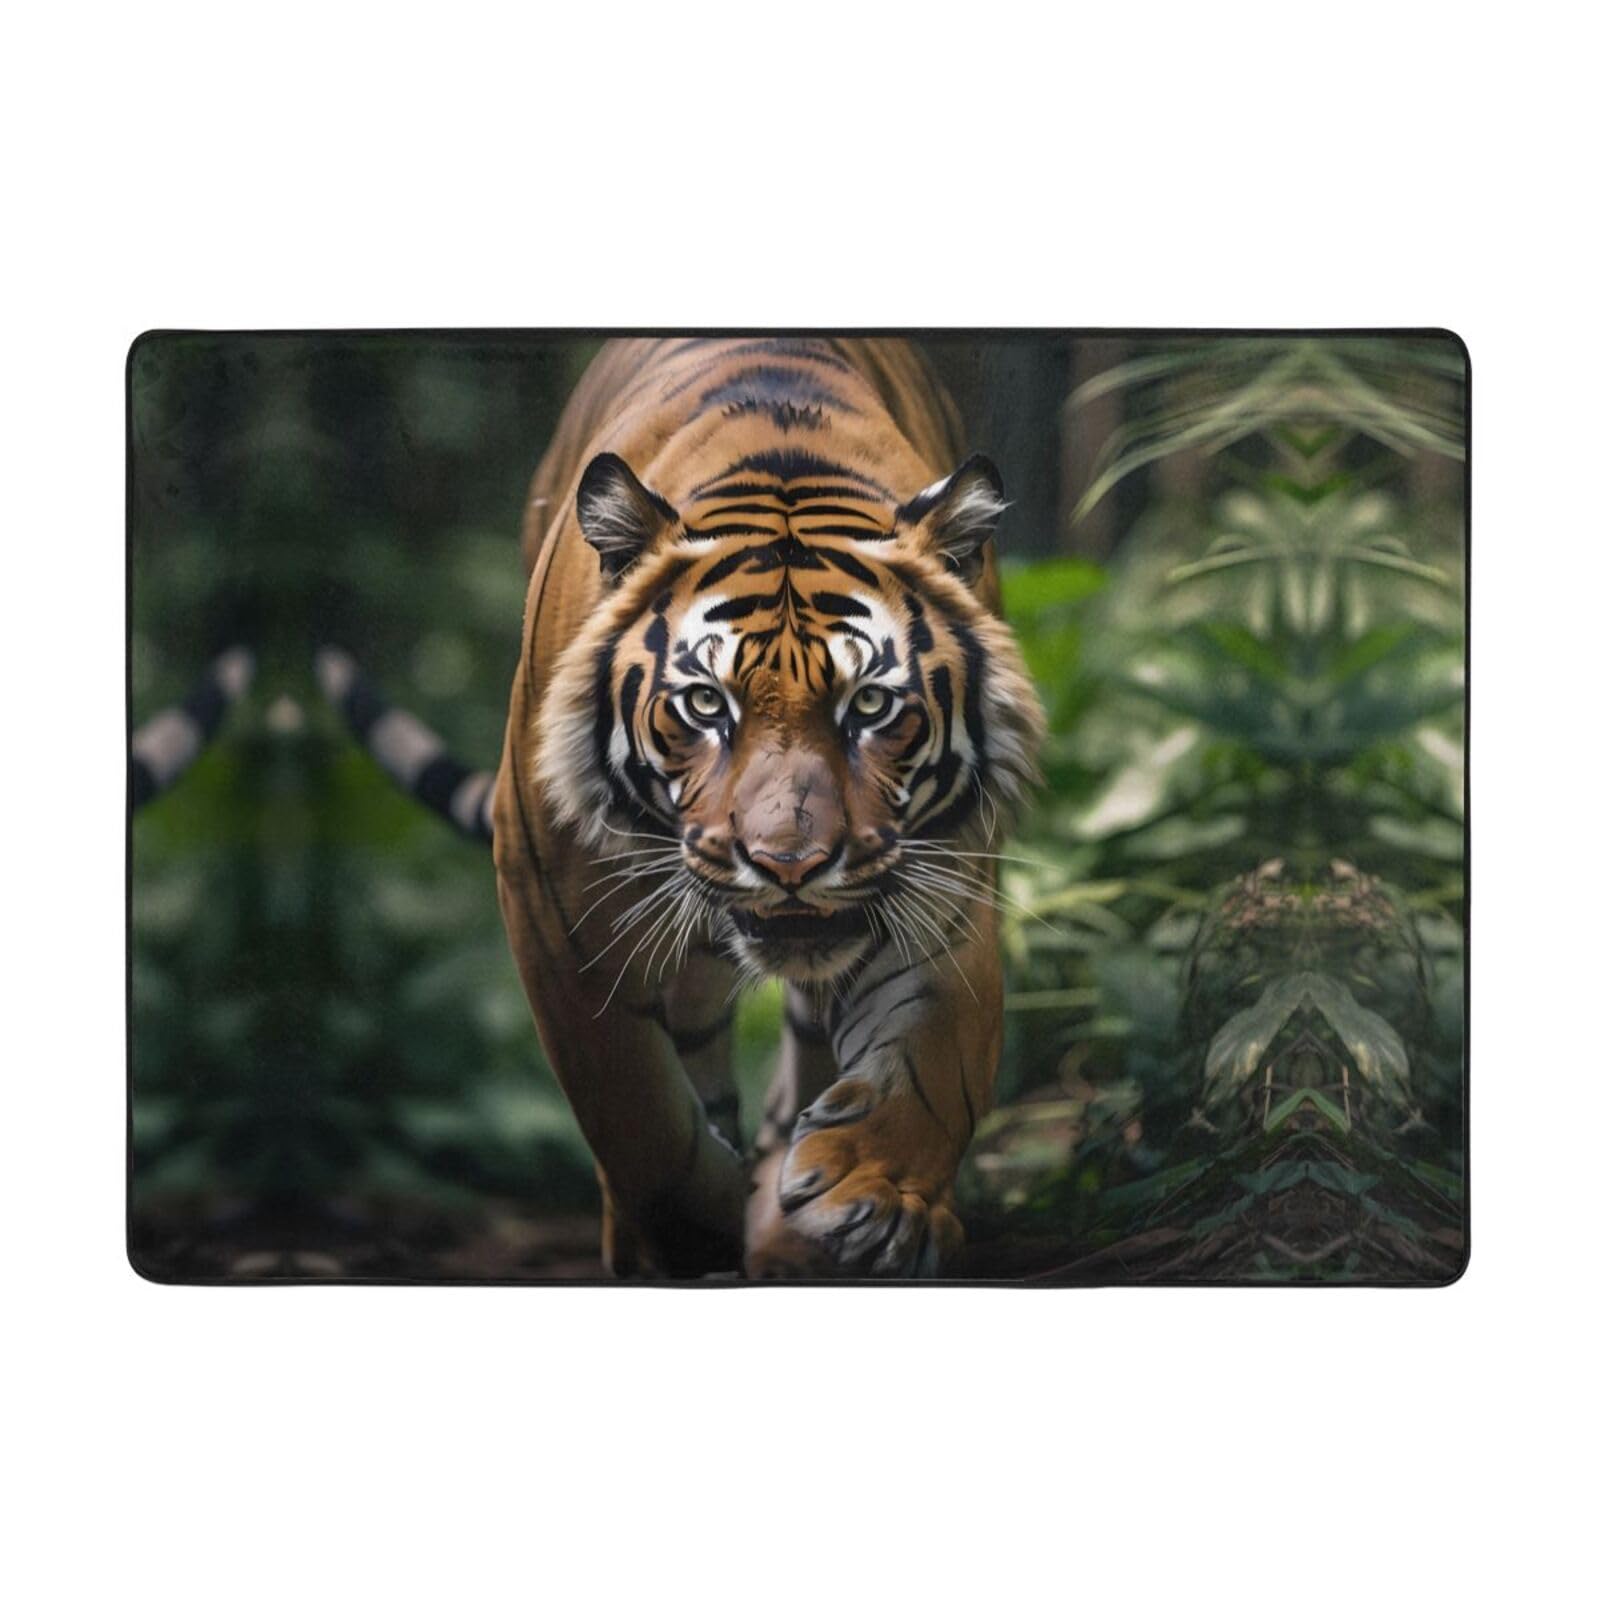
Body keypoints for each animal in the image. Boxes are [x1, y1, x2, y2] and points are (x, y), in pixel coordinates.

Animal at [492, 337, 1046, 1278]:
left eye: (870, 705)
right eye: (705, 704)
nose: (790, 863)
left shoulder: (942, 877)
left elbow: (939, 1054)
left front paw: (870, 1194)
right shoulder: (549, 886)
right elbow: (624, 1094)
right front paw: (691, 1225)